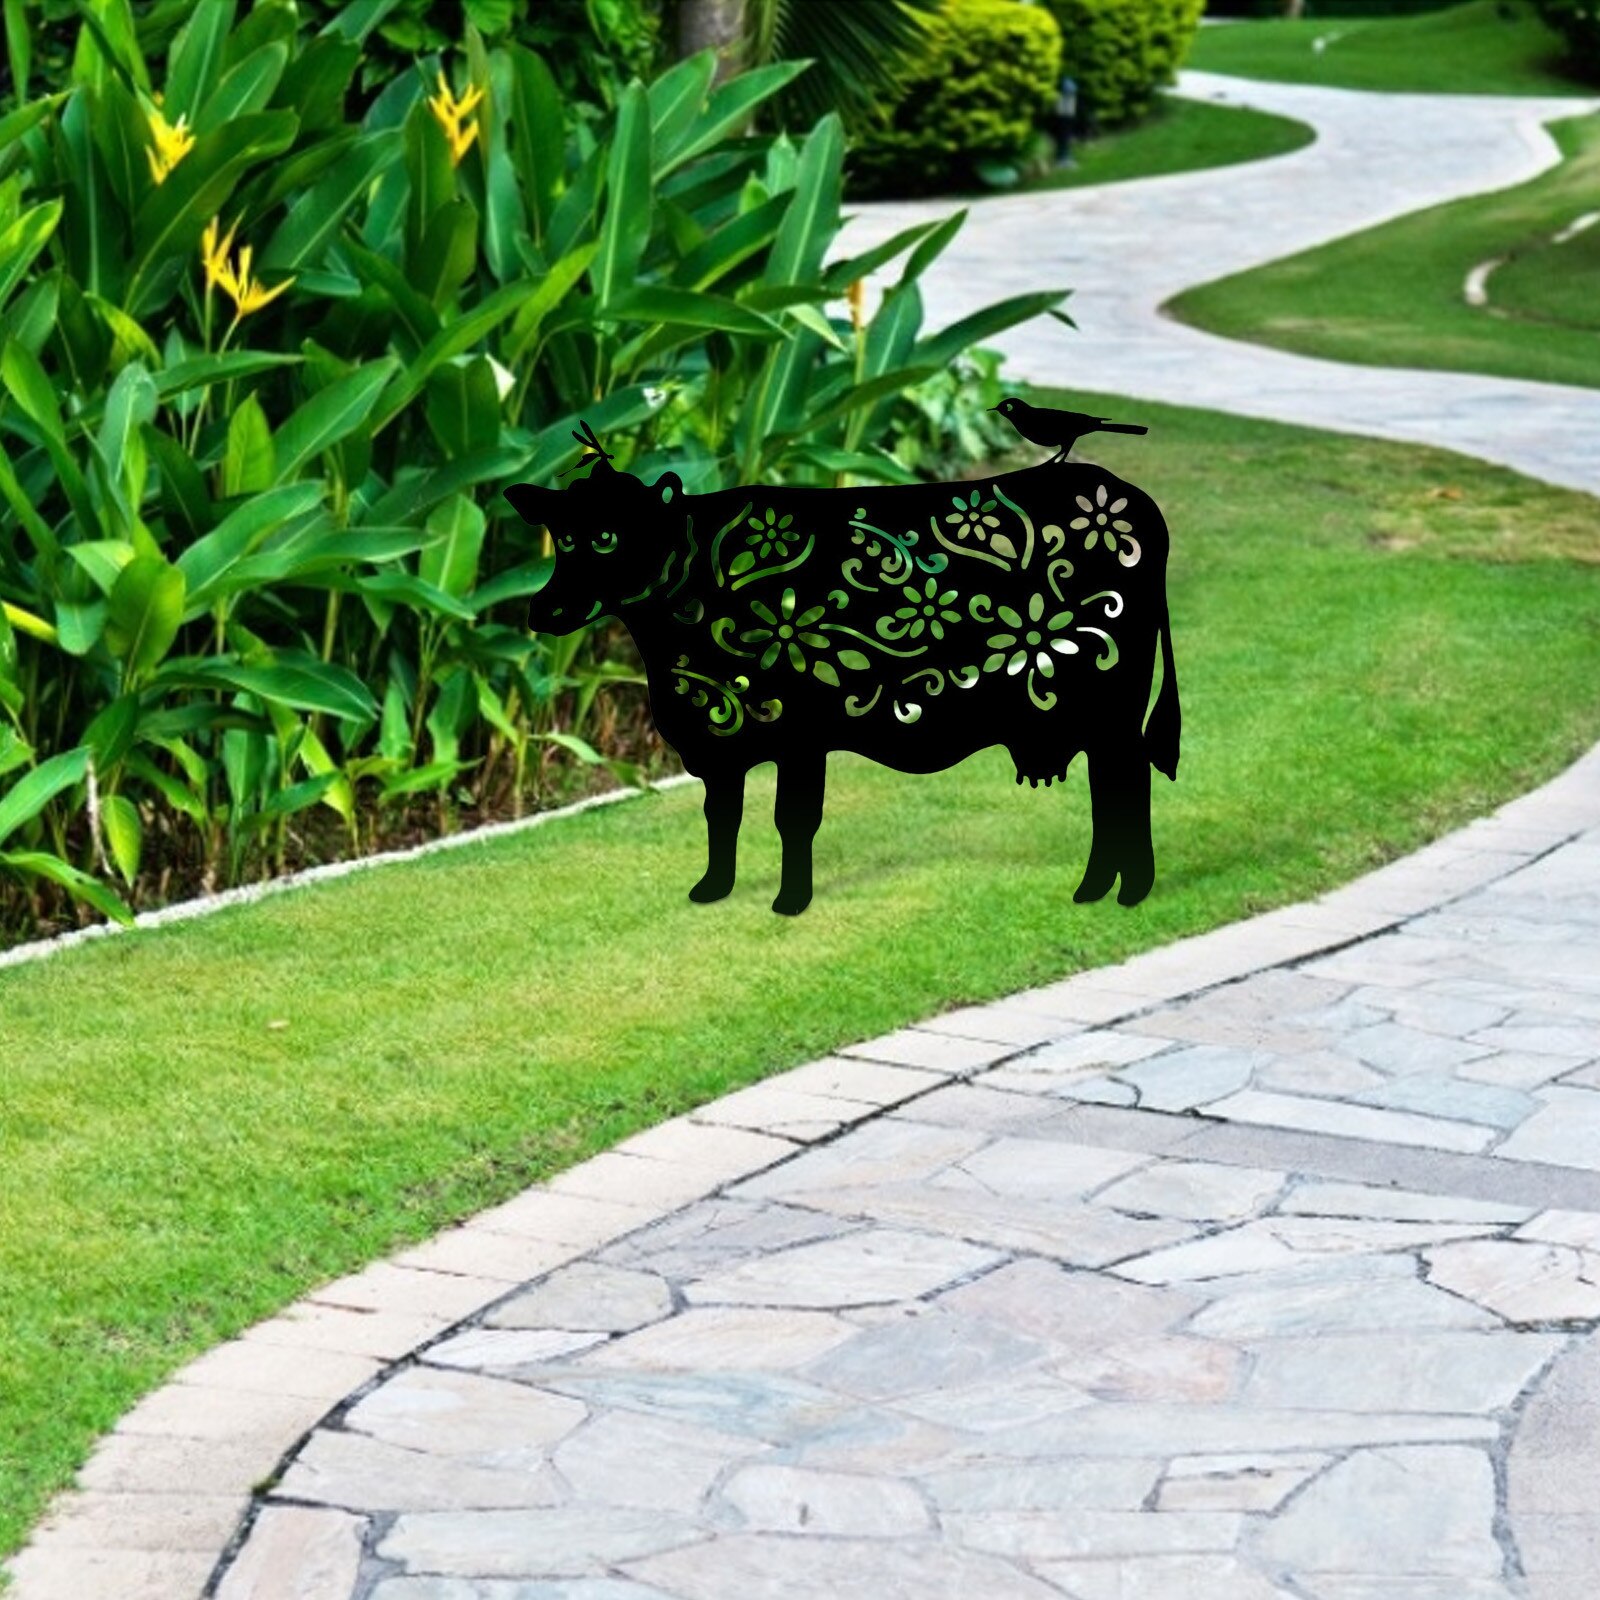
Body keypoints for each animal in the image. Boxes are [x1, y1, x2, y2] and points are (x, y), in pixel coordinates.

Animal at [504, 437, 1179, 915]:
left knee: (1125, 784)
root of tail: (1130, 498)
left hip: (1111, 709)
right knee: (1111, 789)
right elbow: (722, 815)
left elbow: (792, 818)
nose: (544, 612)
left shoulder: (803, 733)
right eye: (564, 537)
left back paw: (1127, 889)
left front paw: (790, 902)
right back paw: (1099, 887)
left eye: (609, 536)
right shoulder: (724, 739)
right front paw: (712, 889)